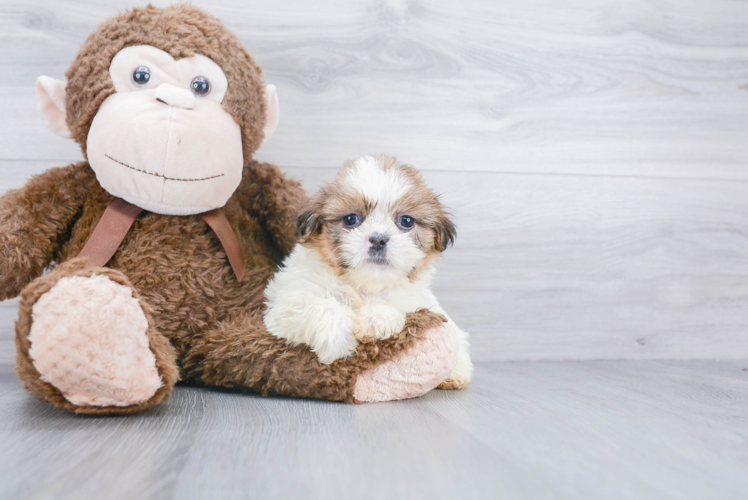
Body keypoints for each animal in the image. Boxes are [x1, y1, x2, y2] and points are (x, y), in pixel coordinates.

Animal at [266, 154, 470, 388]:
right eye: (351, 219)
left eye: (406, 221)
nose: (378, 239)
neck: (364, 284)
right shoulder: (286, 303)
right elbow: (322, 305)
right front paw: (337, 340)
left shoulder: (416, 302)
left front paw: (375, 319)